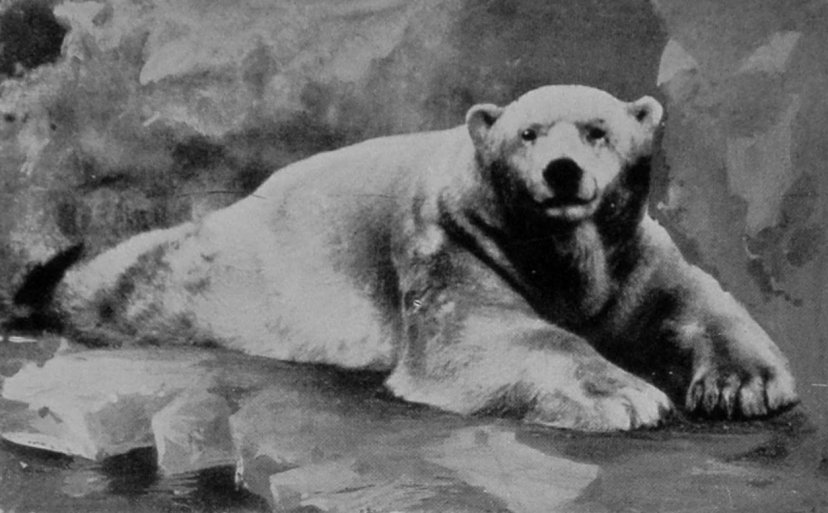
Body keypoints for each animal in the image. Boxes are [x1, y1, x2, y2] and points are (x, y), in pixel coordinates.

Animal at [25, 85, 797, 431]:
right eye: (529, 132)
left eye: (598, 130)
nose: (563, 172)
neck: (561, 253)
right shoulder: (449, 242)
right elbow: (482, 336)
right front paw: (626, 393)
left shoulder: (633, 256)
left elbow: (699, 300)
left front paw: (745, 385)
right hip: (207, 272)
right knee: (125, 277)